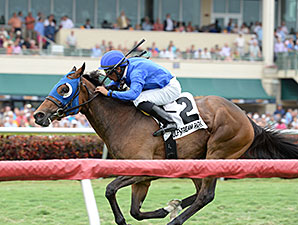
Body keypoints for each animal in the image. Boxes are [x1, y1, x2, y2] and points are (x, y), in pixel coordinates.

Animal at [33, 63, 298, 225]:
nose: (38, 115)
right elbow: (135, 211)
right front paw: (165, 208)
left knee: (206, 195)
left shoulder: (145, 168)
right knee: (200, 192)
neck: (123, 120)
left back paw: (176, 218)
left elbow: (110, 190)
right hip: (196, 159)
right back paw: (175, 206)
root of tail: (248, 118)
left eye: (63, 88)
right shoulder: (142, 176)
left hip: (218, 151)